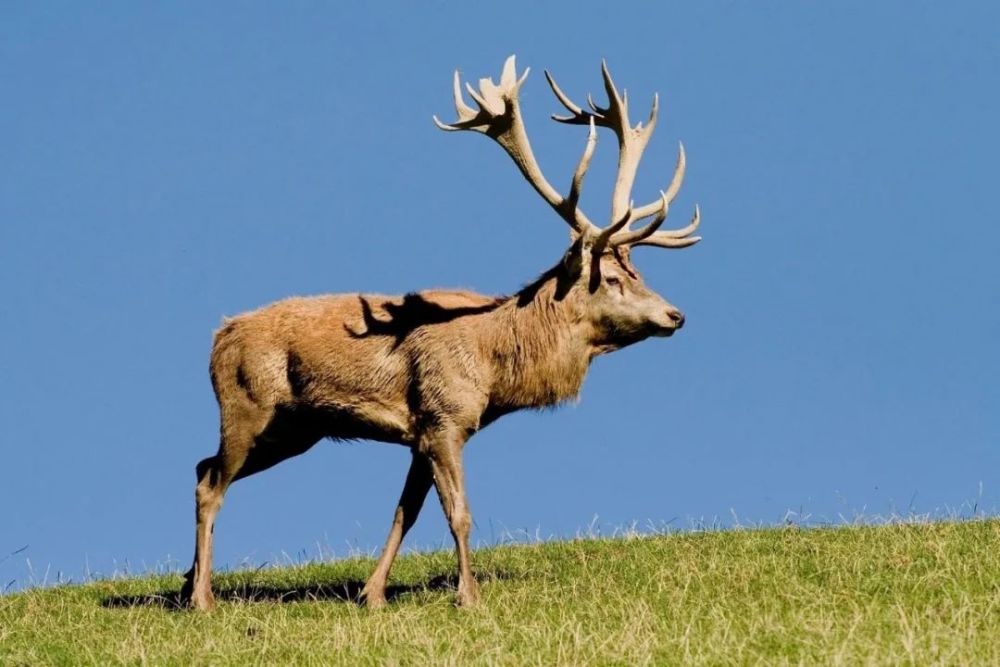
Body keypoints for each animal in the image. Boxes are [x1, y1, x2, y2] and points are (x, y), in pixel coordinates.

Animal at [184, 56, 708, 612]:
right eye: (609, 278)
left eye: (639, 273)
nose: (675, 315)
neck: (495, 366)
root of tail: (218, 339)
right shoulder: (444, 418)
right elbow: (459, 512)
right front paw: (468, 596)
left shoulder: (420, 433)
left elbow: (404, 513)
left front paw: (373, 593)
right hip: (248, 406)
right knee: (212, 484)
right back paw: (203, 599)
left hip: (295, 429)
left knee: (201, 466)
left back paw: (186, 582)